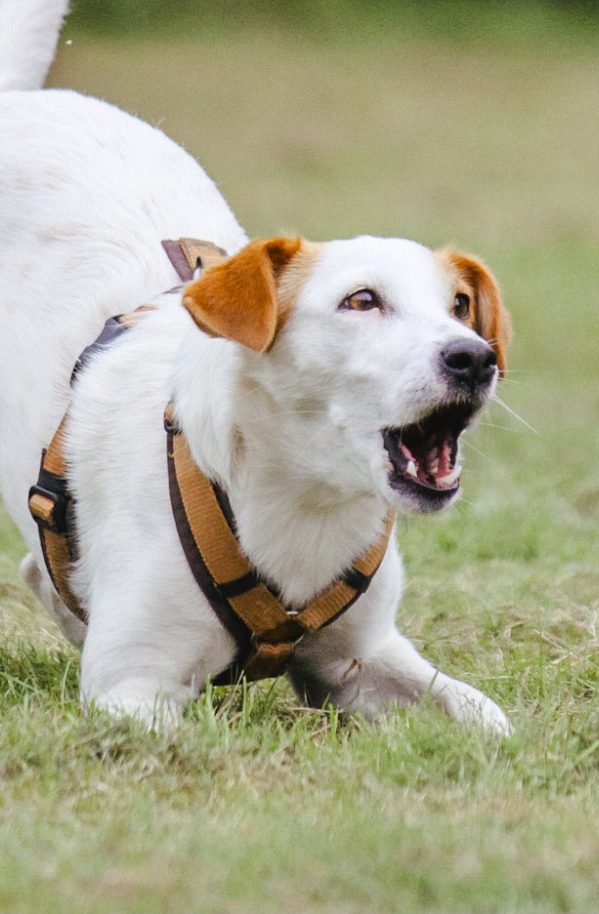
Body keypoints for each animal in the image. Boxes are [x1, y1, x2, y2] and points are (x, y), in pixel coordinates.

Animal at [0, 0, 510, 728]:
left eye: (460, 305)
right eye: (361, 300)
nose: (474, 358)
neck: (304, 496)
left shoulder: (362, 659)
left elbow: (488, 719)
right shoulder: (132, 686)